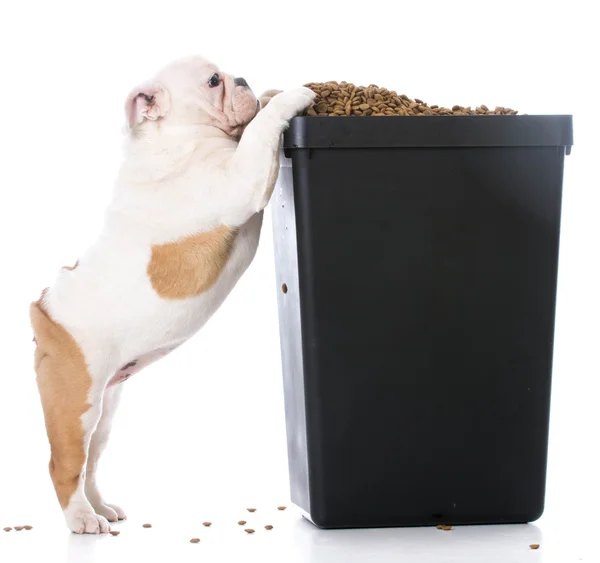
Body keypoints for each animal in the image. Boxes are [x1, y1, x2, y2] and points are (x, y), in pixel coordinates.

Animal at [29, 55, 314, 536]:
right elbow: (259, 133)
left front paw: (270, 93)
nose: (242, 79)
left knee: (90, 463)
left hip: (104, 411)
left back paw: (102, 507)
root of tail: (43, 311)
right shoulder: (238, 180)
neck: (174, 135)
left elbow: (255, 126)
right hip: (74, 405)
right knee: (64, 465)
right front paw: (291, 96)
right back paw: (82, 520)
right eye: (213, 81)